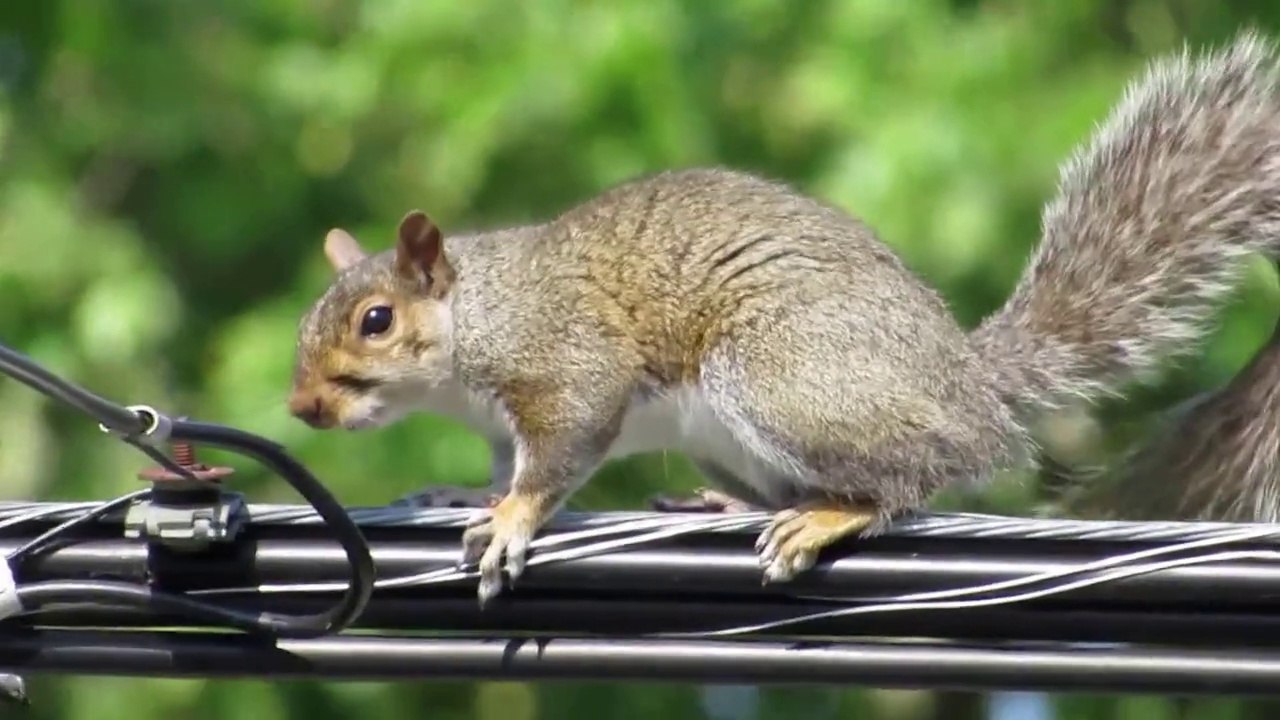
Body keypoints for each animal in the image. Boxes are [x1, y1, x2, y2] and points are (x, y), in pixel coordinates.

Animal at [288, 32, 1280, 605]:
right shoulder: (503, 422)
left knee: (916, 473)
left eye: (375, 320)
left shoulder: (565, 358)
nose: (303, 408)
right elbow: (504, 463)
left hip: (779, 373)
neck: (478, 312)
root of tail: (969, 383)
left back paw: (828, 516)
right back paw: (739, 501)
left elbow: (560, 451)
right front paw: (467, 494)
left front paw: (511, 520)